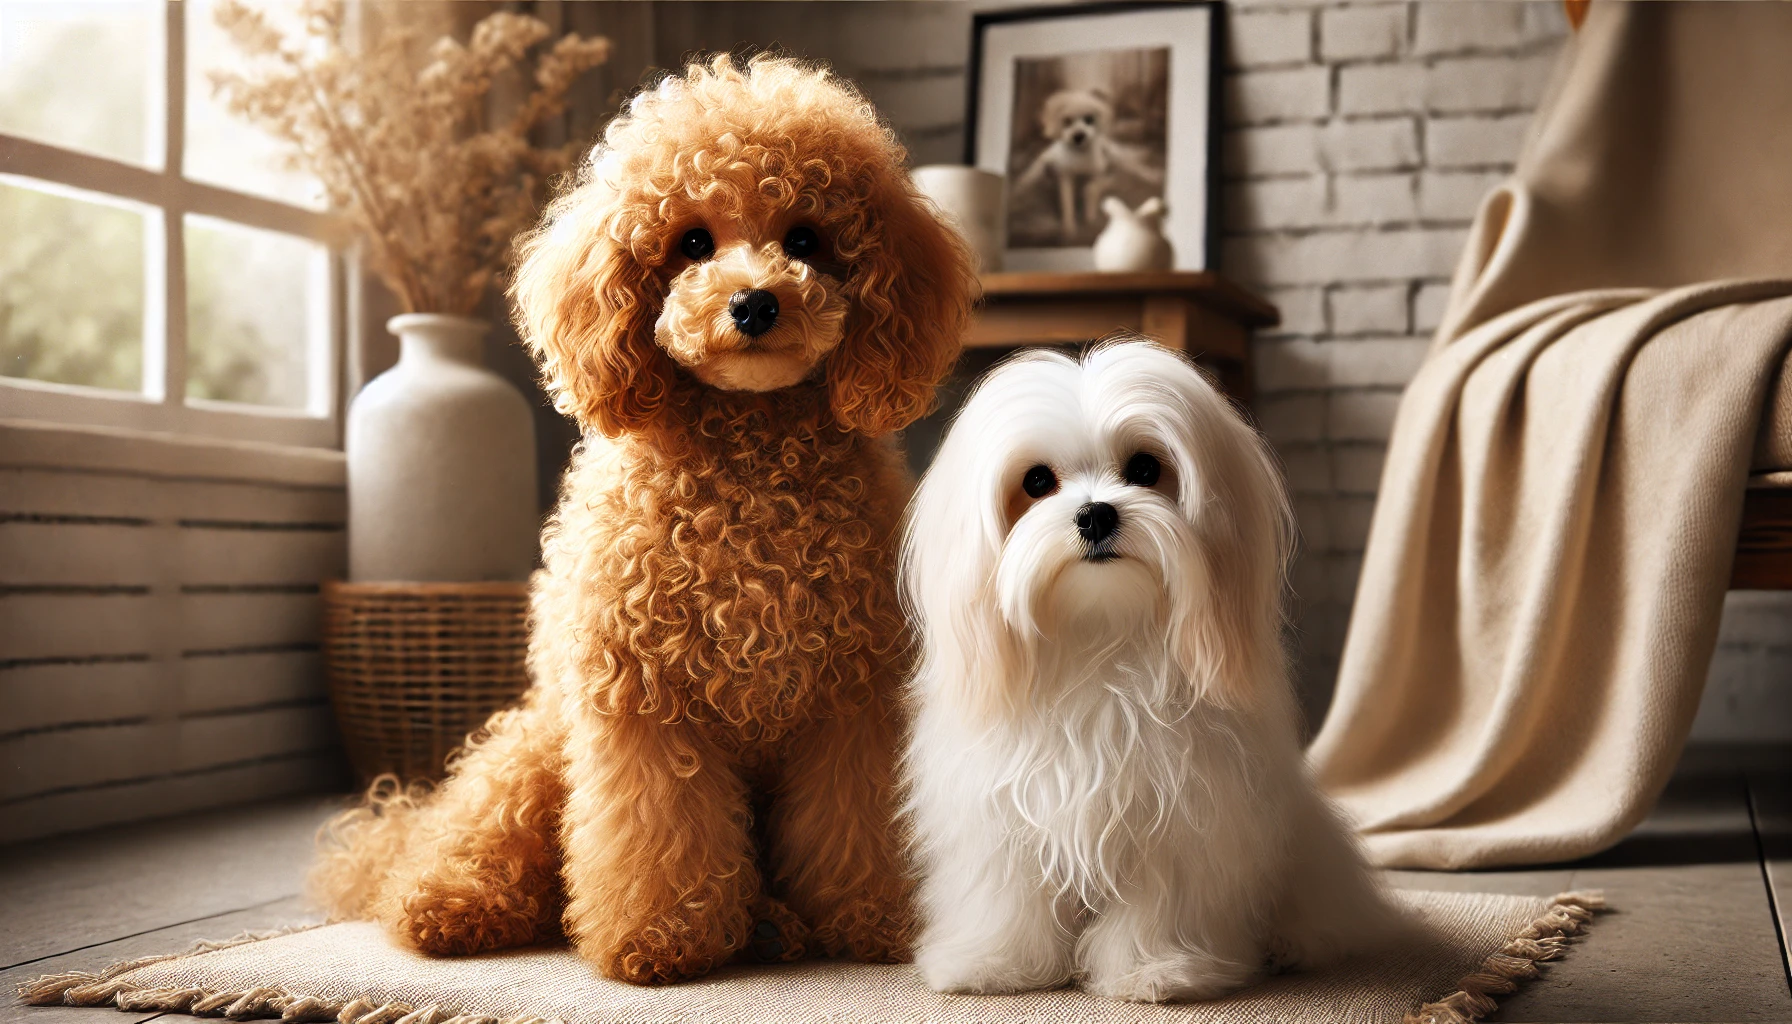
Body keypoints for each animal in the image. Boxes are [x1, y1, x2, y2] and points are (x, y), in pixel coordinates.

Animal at [903, 340, 1404, 1004]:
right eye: (1036, 481)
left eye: (1144, 468)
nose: (1095, 514)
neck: (1100, 639)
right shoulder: (1000, 810)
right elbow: (1006, 892)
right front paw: (993, 963)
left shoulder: (1180, 811)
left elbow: (1160, 897)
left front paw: (1157, 970)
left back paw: (1290, 944)